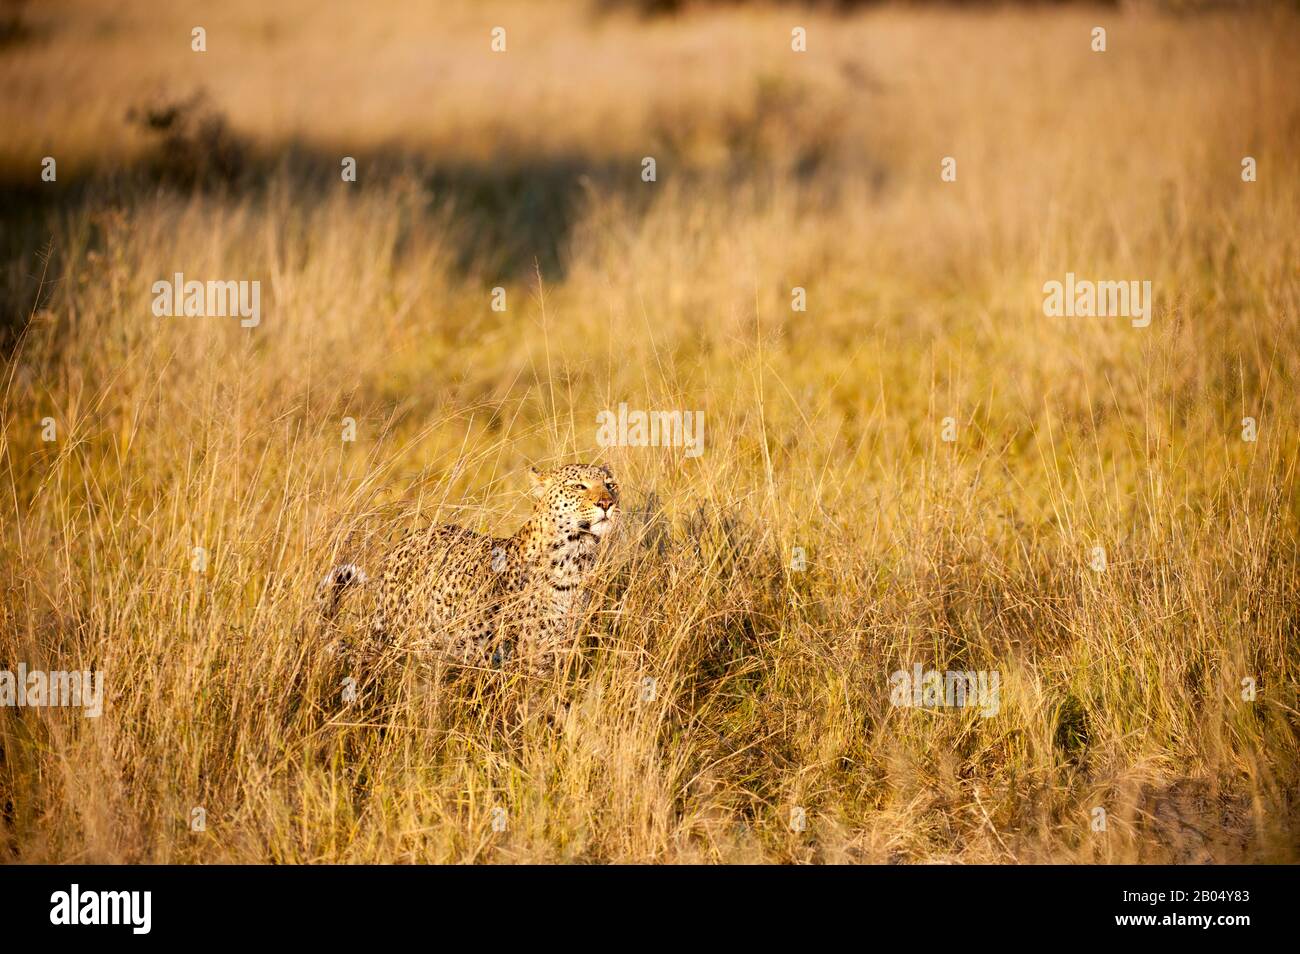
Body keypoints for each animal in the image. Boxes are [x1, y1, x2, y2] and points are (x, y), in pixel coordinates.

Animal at [319, 463, 620, 675]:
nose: (607, 503)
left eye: (610, 484)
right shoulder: (528, 652)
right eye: (579, 486)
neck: (575, 557)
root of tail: (402, 544)